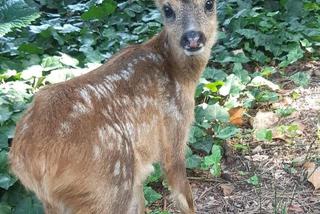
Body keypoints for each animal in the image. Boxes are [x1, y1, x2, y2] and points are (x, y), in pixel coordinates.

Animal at [8, 0, 218, 213]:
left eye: (209, 4)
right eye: (167, 10)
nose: (192, 38)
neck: (178, 72)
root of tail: (30, 159)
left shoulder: (139, 167)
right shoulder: (175, 127)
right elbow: (184, 195)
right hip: (108, 183)